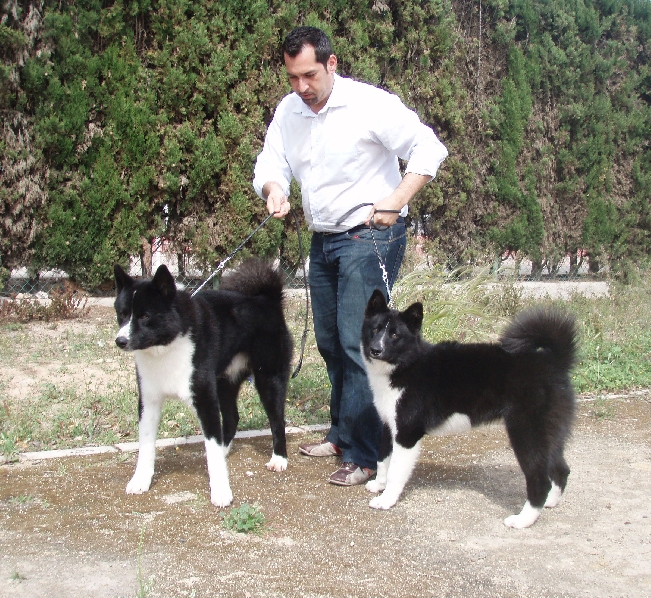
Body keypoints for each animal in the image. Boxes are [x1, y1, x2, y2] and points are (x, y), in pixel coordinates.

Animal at [113, 259, 292, 508]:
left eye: (144, 316)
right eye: (122, 314)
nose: (120, 340)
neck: (167, 347)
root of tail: (267, 299)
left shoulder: (205, 399)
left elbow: (212, 446)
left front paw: (221, 492)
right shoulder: (149, 401)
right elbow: (146, 444)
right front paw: (140, 480)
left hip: (269, 379)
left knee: (277, 420)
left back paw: (279, 459)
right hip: (224, 382)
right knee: (231, 419)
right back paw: (225, 451)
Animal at [361, 290, 577, 528]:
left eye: (395, 335)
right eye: (375, 329)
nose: (375, 349)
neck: (407, 365)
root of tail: (552, 361)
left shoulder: (407, 434)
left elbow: (396, 470)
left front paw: (386, 500)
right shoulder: (389, 426)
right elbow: (383, 459)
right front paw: (379, 485)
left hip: (527, 432)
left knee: (540, 479)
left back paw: (523, 519)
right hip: (550, 434)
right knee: (561, 469)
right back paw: (550, 502)